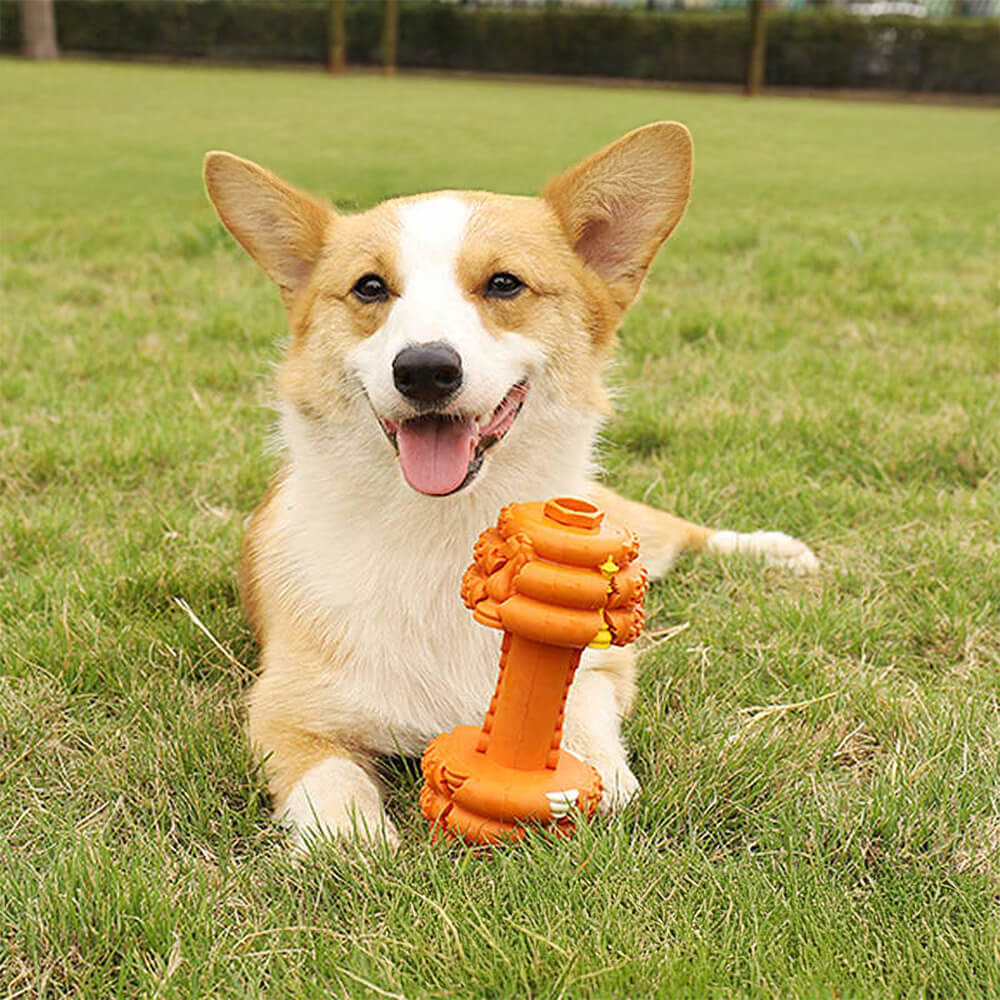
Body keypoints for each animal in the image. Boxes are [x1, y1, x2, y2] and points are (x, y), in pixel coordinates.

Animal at [205, 123, 820, 852]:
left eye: (504, 284)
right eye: (370, 288)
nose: (425, 370)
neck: (445, 529)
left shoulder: (607, 670)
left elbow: (584, 714)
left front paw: (597, 777)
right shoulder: (283, 710)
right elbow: (329, 777)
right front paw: (352, 839)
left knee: (686, 533)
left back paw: (775, 550)